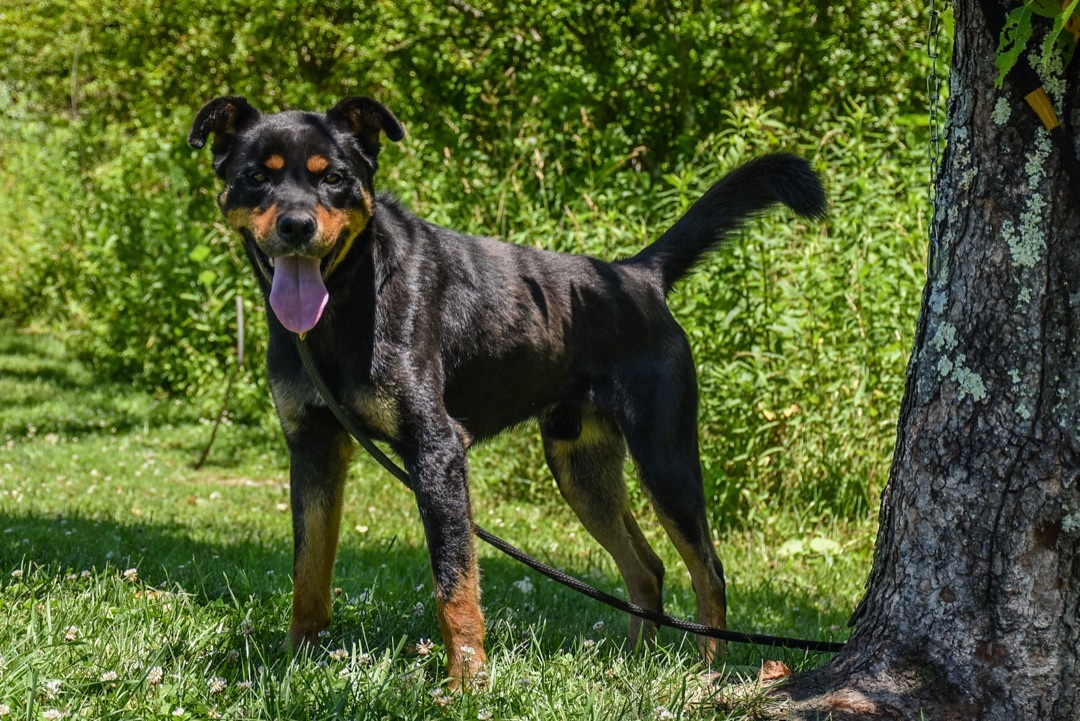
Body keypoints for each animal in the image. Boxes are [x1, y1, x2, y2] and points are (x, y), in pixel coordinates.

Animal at [187, 97, 825, 686]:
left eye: (334, 177)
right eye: (258, 176)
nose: (297, 227)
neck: (344, 302)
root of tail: (638, 274)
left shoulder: (437, 452)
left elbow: (455, 584)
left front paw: (467, 682)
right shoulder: (313, 448)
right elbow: (308, 570)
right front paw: (295, 659)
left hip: (665, 459)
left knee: (708, 570)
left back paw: (707, 671)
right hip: (581, 469)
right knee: (647, 570)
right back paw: (635, 663)